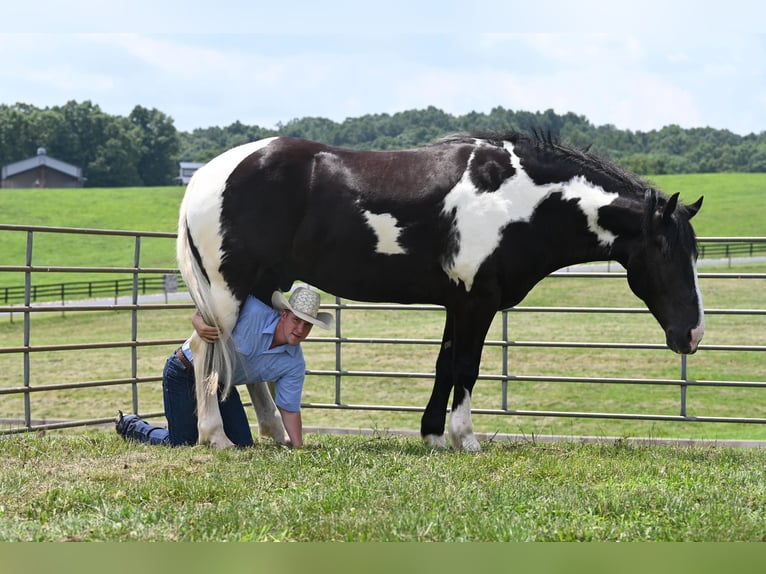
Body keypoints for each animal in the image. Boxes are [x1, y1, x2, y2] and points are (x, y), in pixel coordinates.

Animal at [177, 133, 704, 452]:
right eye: (665, 251)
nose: (693, 335)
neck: (520, 199)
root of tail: (203, 178)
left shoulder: (458, 304)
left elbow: (444, 366)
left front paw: (432, 435)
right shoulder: (477, 303)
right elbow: (466, 367)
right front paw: (465, 438)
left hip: (264, 285)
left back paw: (275, 434)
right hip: (226, 291)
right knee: (206, 350)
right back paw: (216, 438)